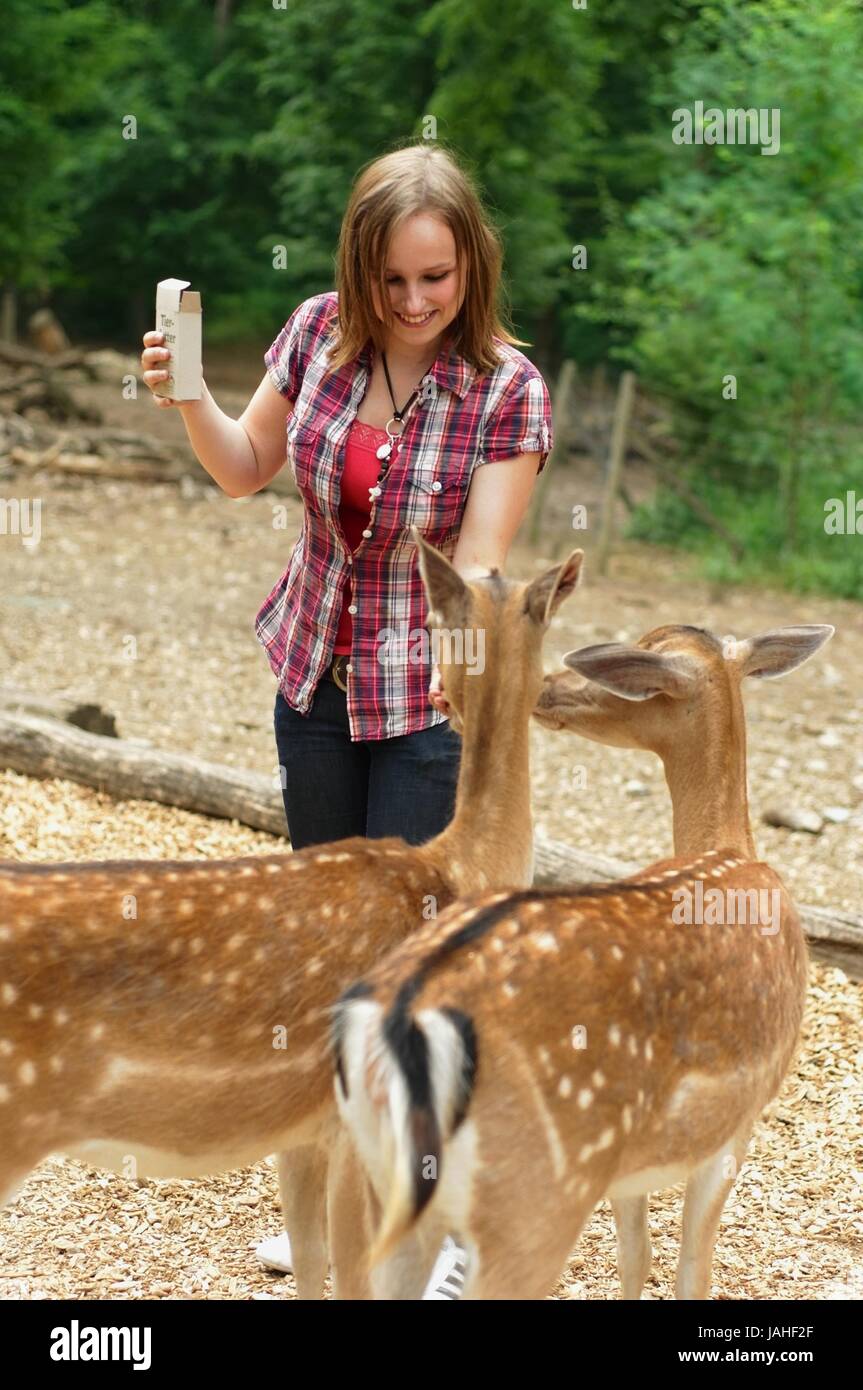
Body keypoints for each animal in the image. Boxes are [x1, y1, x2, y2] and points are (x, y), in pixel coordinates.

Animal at [333, 625, 833, 1295]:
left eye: (640, 661)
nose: (546, 687)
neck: (732, 849)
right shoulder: (741, 1122)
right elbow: (690, 1267)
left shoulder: (632, 1162)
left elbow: (637, 1254)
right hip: (536, 1198)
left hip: (381, 1181)